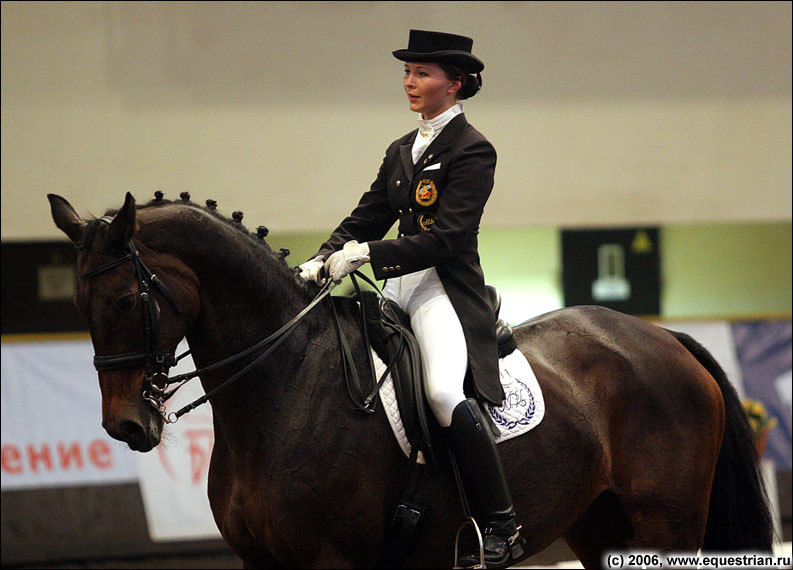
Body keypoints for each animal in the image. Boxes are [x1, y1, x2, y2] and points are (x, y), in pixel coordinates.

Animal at [46, 193, 772, 564]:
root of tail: (662, 336)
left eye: (124, 301)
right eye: (78, 306)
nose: (126, 425)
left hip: (667, 521)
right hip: (602, 524)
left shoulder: (327, 563)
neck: (285, 387)